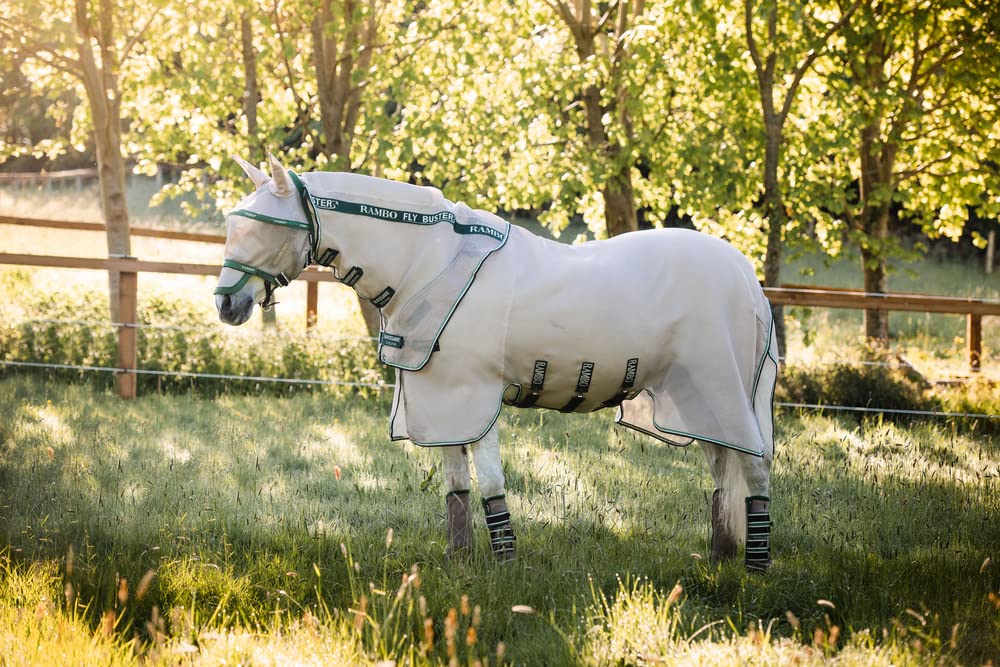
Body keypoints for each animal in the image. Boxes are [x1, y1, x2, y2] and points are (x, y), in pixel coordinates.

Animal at [214, 154, 779, 571]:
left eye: (267, 228)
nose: (226, 304)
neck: (431, 264)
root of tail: (745, 275)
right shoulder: (439, 401)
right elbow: (456, 485)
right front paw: (460, 558)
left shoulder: (474, 396)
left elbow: (488, 482)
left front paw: (505, 563)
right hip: (697, 400)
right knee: (723, 471)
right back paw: (722, 556)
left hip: (726, 393)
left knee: (754, 467)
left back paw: (755, 566)